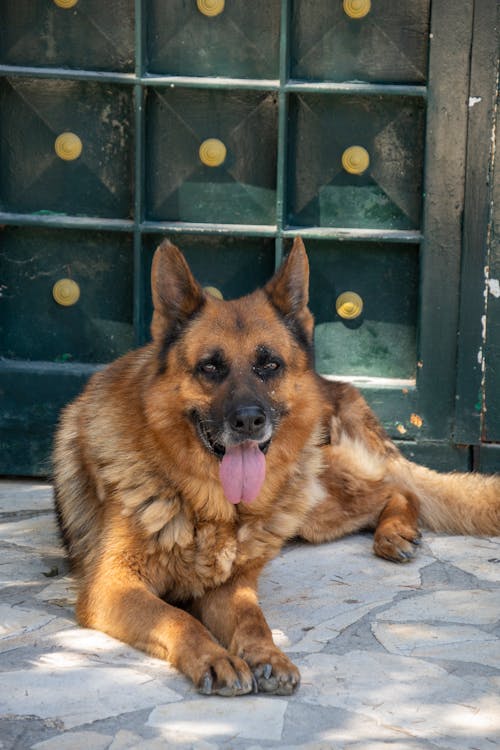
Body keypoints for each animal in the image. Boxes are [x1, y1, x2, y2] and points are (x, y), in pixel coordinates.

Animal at [53, 239, 500, 700]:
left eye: (269, 365)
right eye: (210, 367)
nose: (249, 421)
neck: (209, 506)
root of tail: (331, 383)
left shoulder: (230, 586)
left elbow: (253, 619)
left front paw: (267, 654)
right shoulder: (112, 586)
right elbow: (178, 618)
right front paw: (216, 658)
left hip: (309, 499)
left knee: (396, 488)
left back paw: (394, 532)